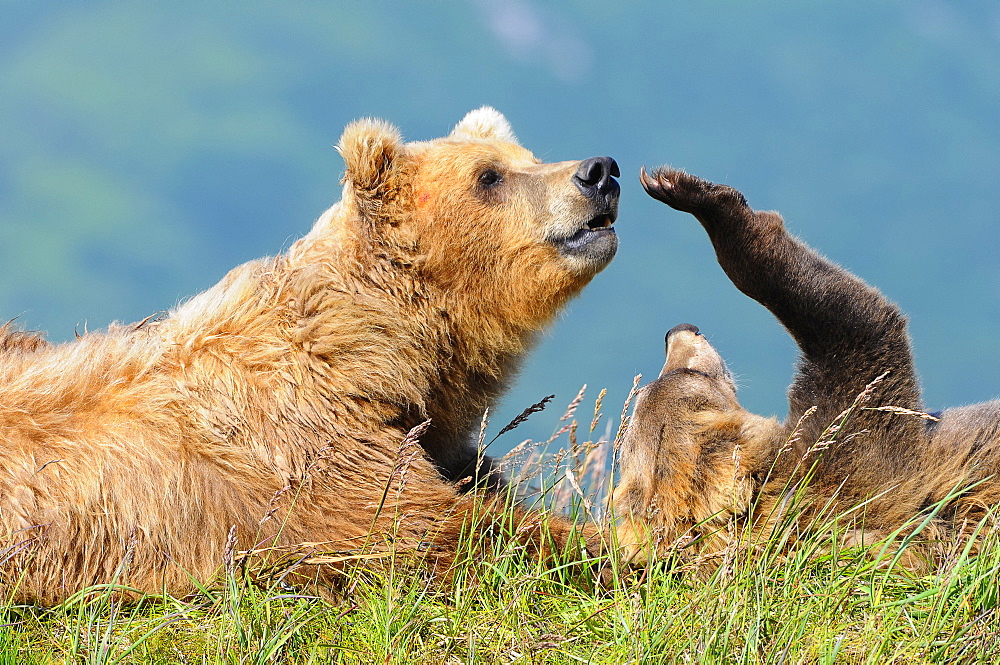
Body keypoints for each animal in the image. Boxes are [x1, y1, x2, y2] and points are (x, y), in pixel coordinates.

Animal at [0, 107, 620, 600]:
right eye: (488, 176)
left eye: (529, 155)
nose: (600, 171)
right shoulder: (311, 455)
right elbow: (432, 528)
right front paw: (621, 543)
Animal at [612, 169, 1000, 568]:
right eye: (692, 376)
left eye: (657, 381)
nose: (678, 330)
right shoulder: (857, 450)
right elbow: (855, 320)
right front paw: (687, 191)